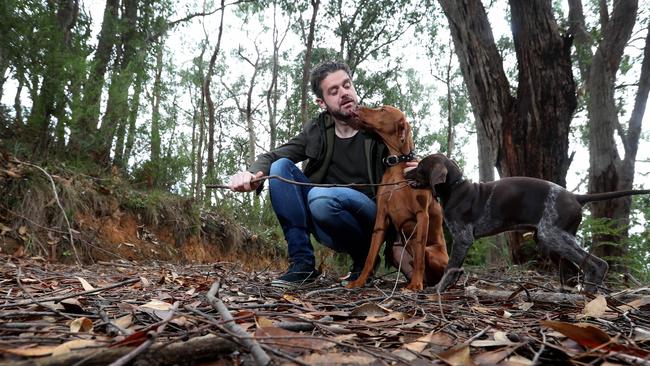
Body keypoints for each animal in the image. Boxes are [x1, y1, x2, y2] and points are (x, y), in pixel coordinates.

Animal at [344, 106, 446, 292]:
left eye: (382, 109)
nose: (357, 107)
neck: (397, 165)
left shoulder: (422, 215)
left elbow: (419, 255)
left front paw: (416, 284)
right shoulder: (381, 218)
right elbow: (370, 256)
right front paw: (359, 281)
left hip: (432, 252)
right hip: (394, 250)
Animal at [404, 153, 648, 294]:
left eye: (420, 167)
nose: (405, 171)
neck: (456, 188)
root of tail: (576, 197)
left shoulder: (463, 238)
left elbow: (450, 268)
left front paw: (437, 289)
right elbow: (455, 269)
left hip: (553, 236)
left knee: (597, 264)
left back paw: (588, 294)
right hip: (550, 243)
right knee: (571, 273)